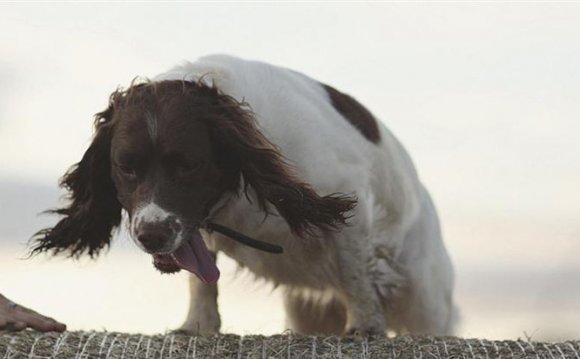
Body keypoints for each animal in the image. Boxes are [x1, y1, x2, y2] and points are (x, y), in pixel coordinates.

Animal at [32, 54, 458, 336]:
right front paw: (197, 325)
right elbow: (201, 277)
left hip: (424, 301)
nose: (151, 235)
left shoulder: (347, 193)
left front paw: (365, 327)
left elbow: (355, 273)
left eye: (188, 165)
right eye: (127, 166)